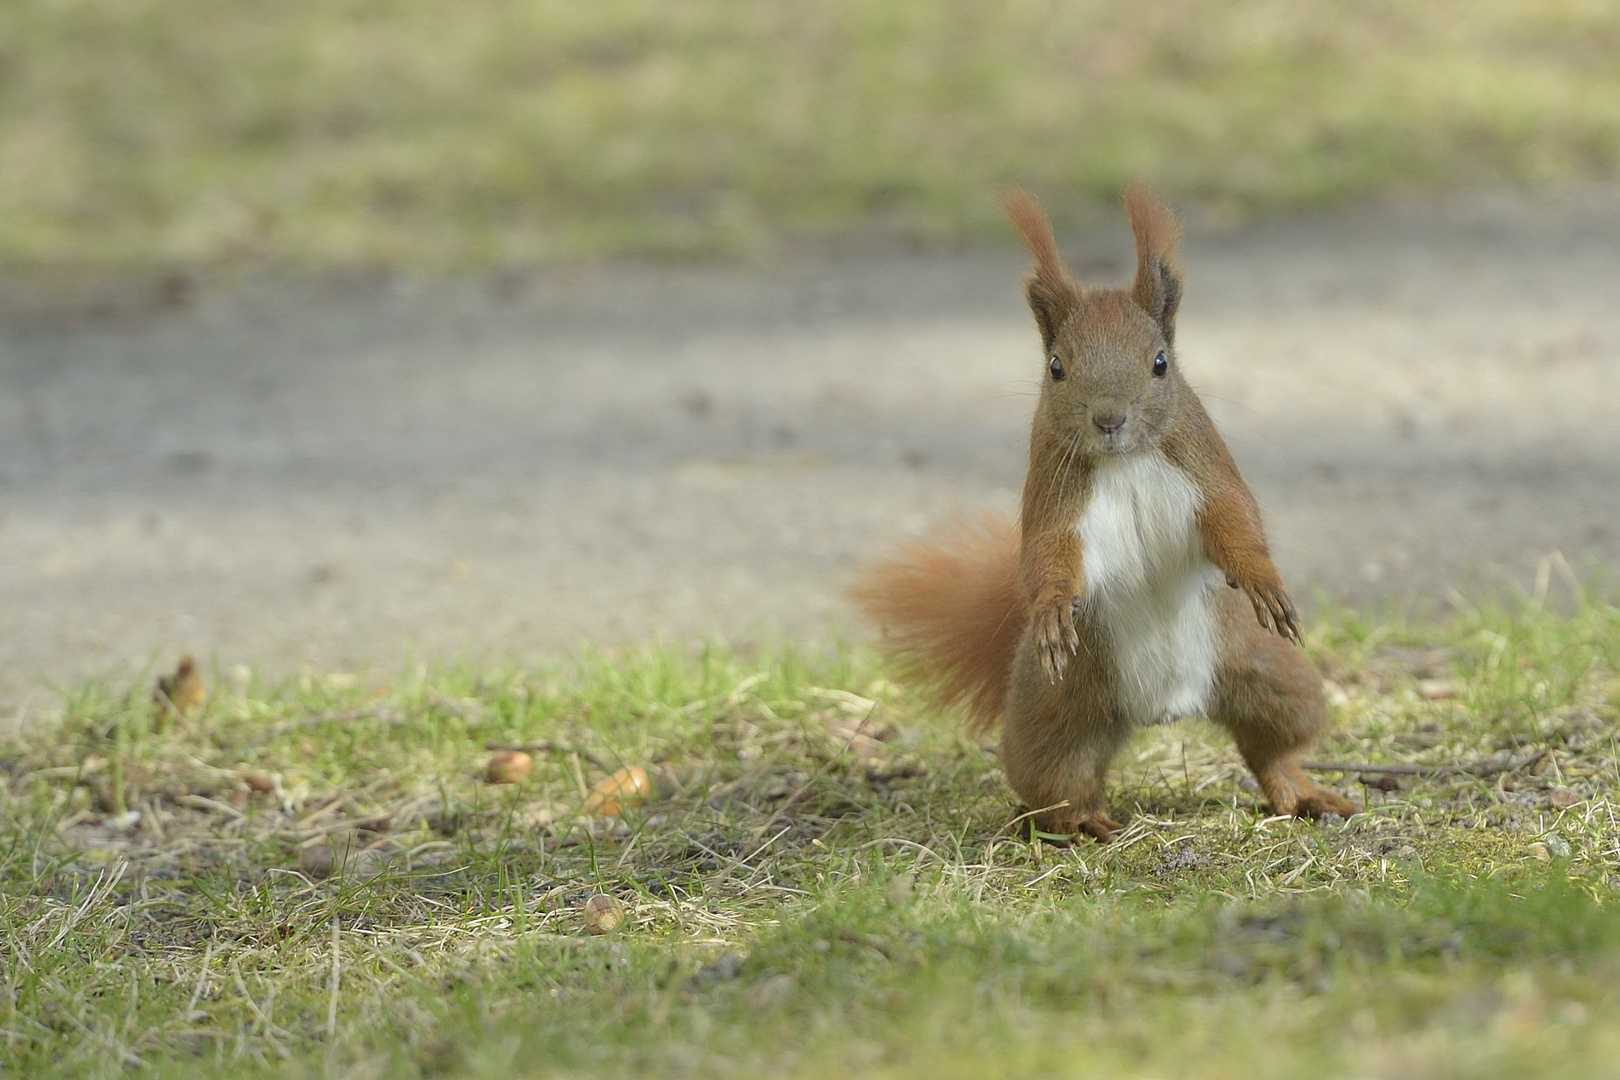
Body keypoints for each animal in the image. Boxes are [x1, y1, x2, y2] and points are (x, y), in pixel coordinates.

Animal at [855, 187, 1360, 841]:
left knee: (1272, 745)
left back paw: (1302, 793)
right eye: (1056, 367)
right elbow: (1049, 552)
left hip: (1267, 672)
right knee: (1055, 779)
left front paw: (1263, 582)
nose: (1109, 419)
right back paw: (1082, 822)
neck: (1126, 460)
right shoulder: (1056, 498)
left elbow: (1235, 522)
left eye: (1161, 362)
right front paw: (1051, 607)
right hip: (1056, 706)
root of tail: (1163, 710)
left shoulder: (1206, 471)